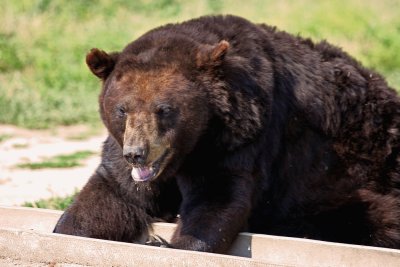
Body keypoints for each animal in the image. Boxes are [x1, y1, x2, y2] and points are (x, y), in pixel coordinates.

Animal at [54, 15, 400, 253]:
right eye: (122, 109)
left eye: (164, 108)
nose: (137, 153)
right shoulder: (122, 154)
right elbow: (109, 196)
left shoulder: (240, 139)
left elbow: (217, 200)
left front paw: (170, 243)